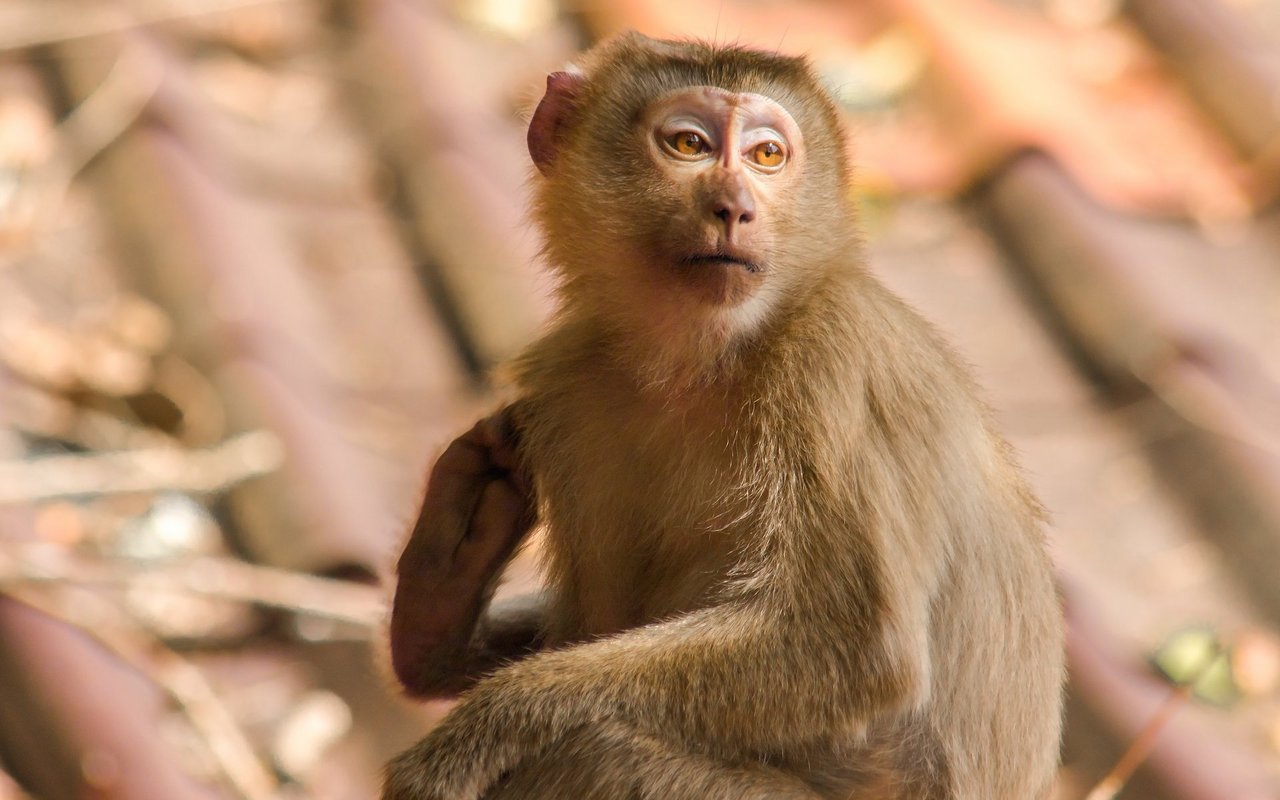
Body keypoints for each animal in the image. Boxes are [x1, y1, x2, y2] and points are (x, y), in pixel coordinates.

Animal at [378, 31, 1059, 798]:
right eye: (689, 144)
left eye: (766, 155)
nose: (734, 206)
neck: (703, 360)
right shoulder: (569, 383)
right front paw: (442, 603)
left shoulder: (828, 361)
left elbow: (851, 650)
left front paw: (483, 727)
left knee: (591, 747)